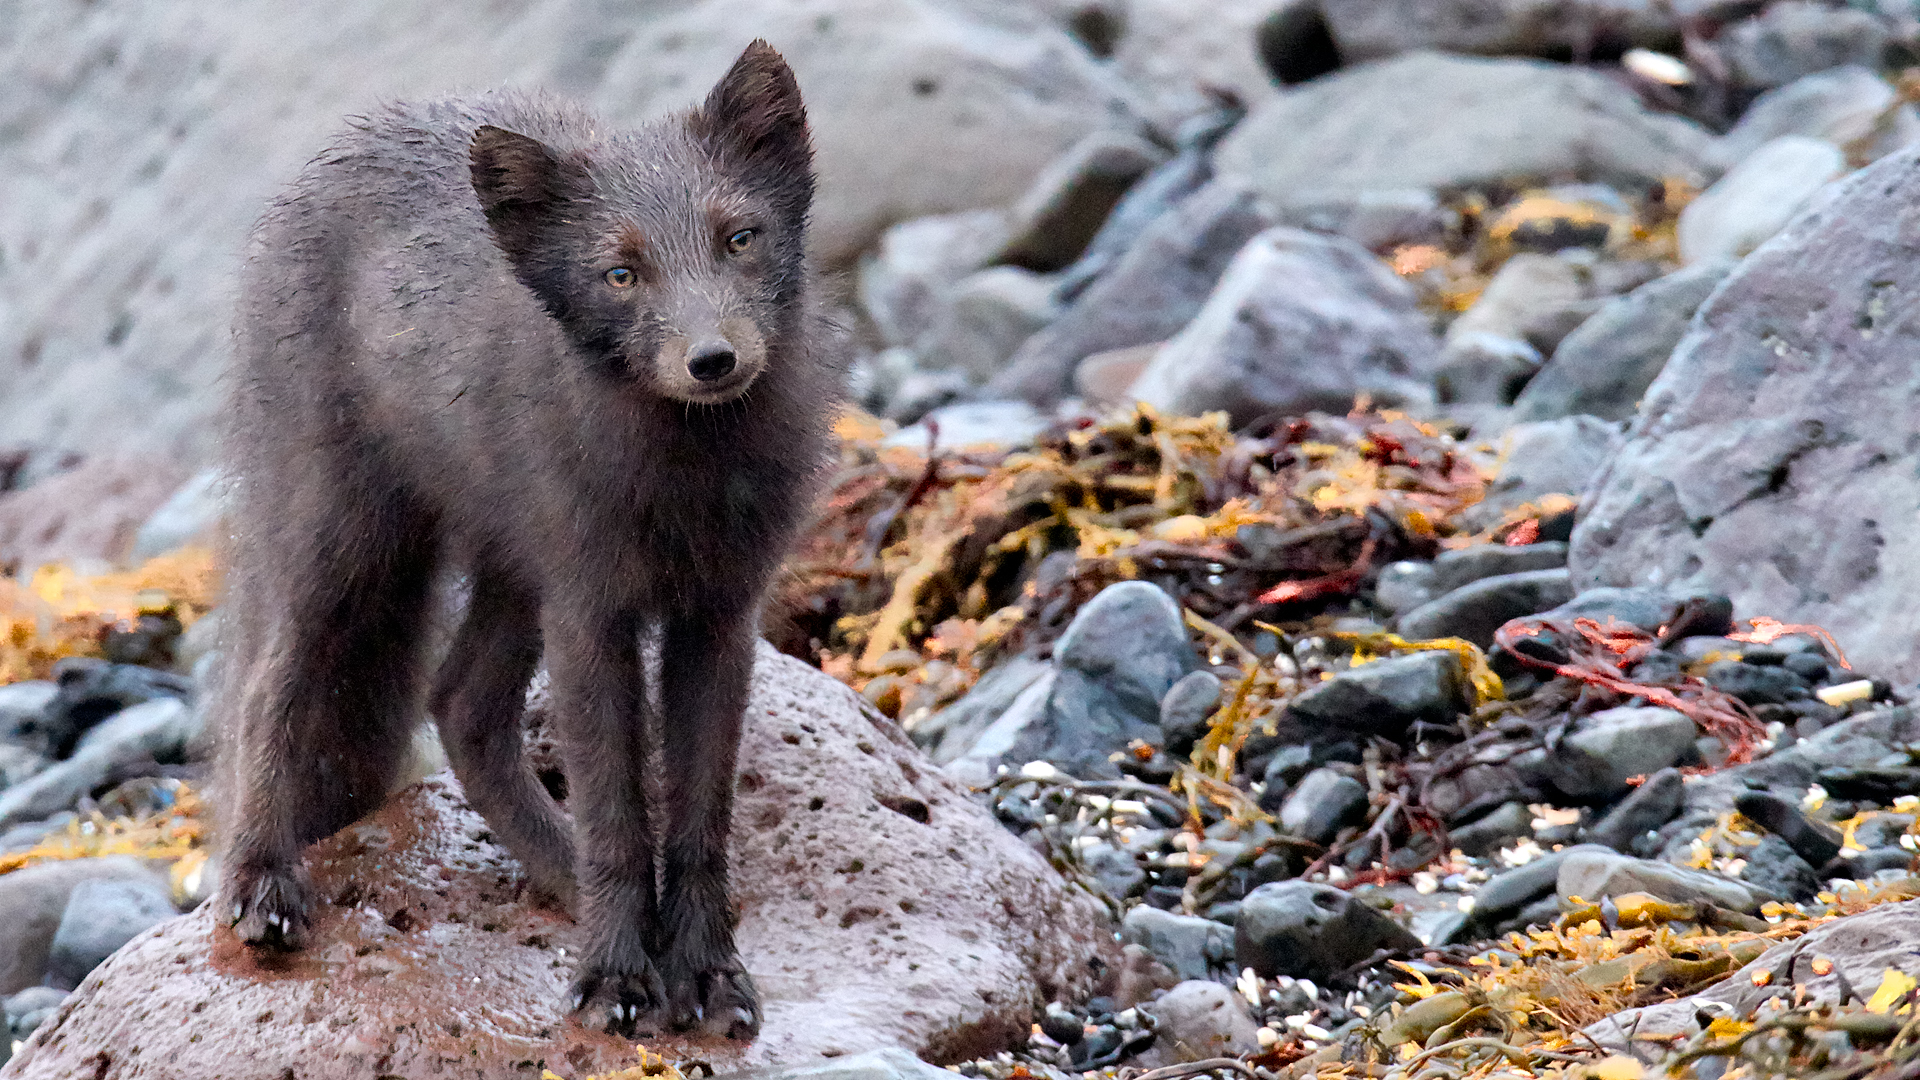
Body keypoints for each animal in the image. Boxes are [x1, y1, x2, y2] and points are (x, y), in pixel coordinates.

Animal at [212, 41, 839, 1040]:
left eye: (740, 238)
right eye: (620, 274)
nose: (712, 360)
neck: (685, 483)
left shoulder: (719, 612)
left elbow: (699, 817)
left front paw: (705, 972)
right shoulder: (591, 607)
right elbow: (619, 814)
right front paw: (617, 977)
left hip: (511, 564)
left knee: (461, 703)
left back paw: (559, 875)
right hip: (342, 539)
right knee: (269, 686)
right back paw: (264, 887)